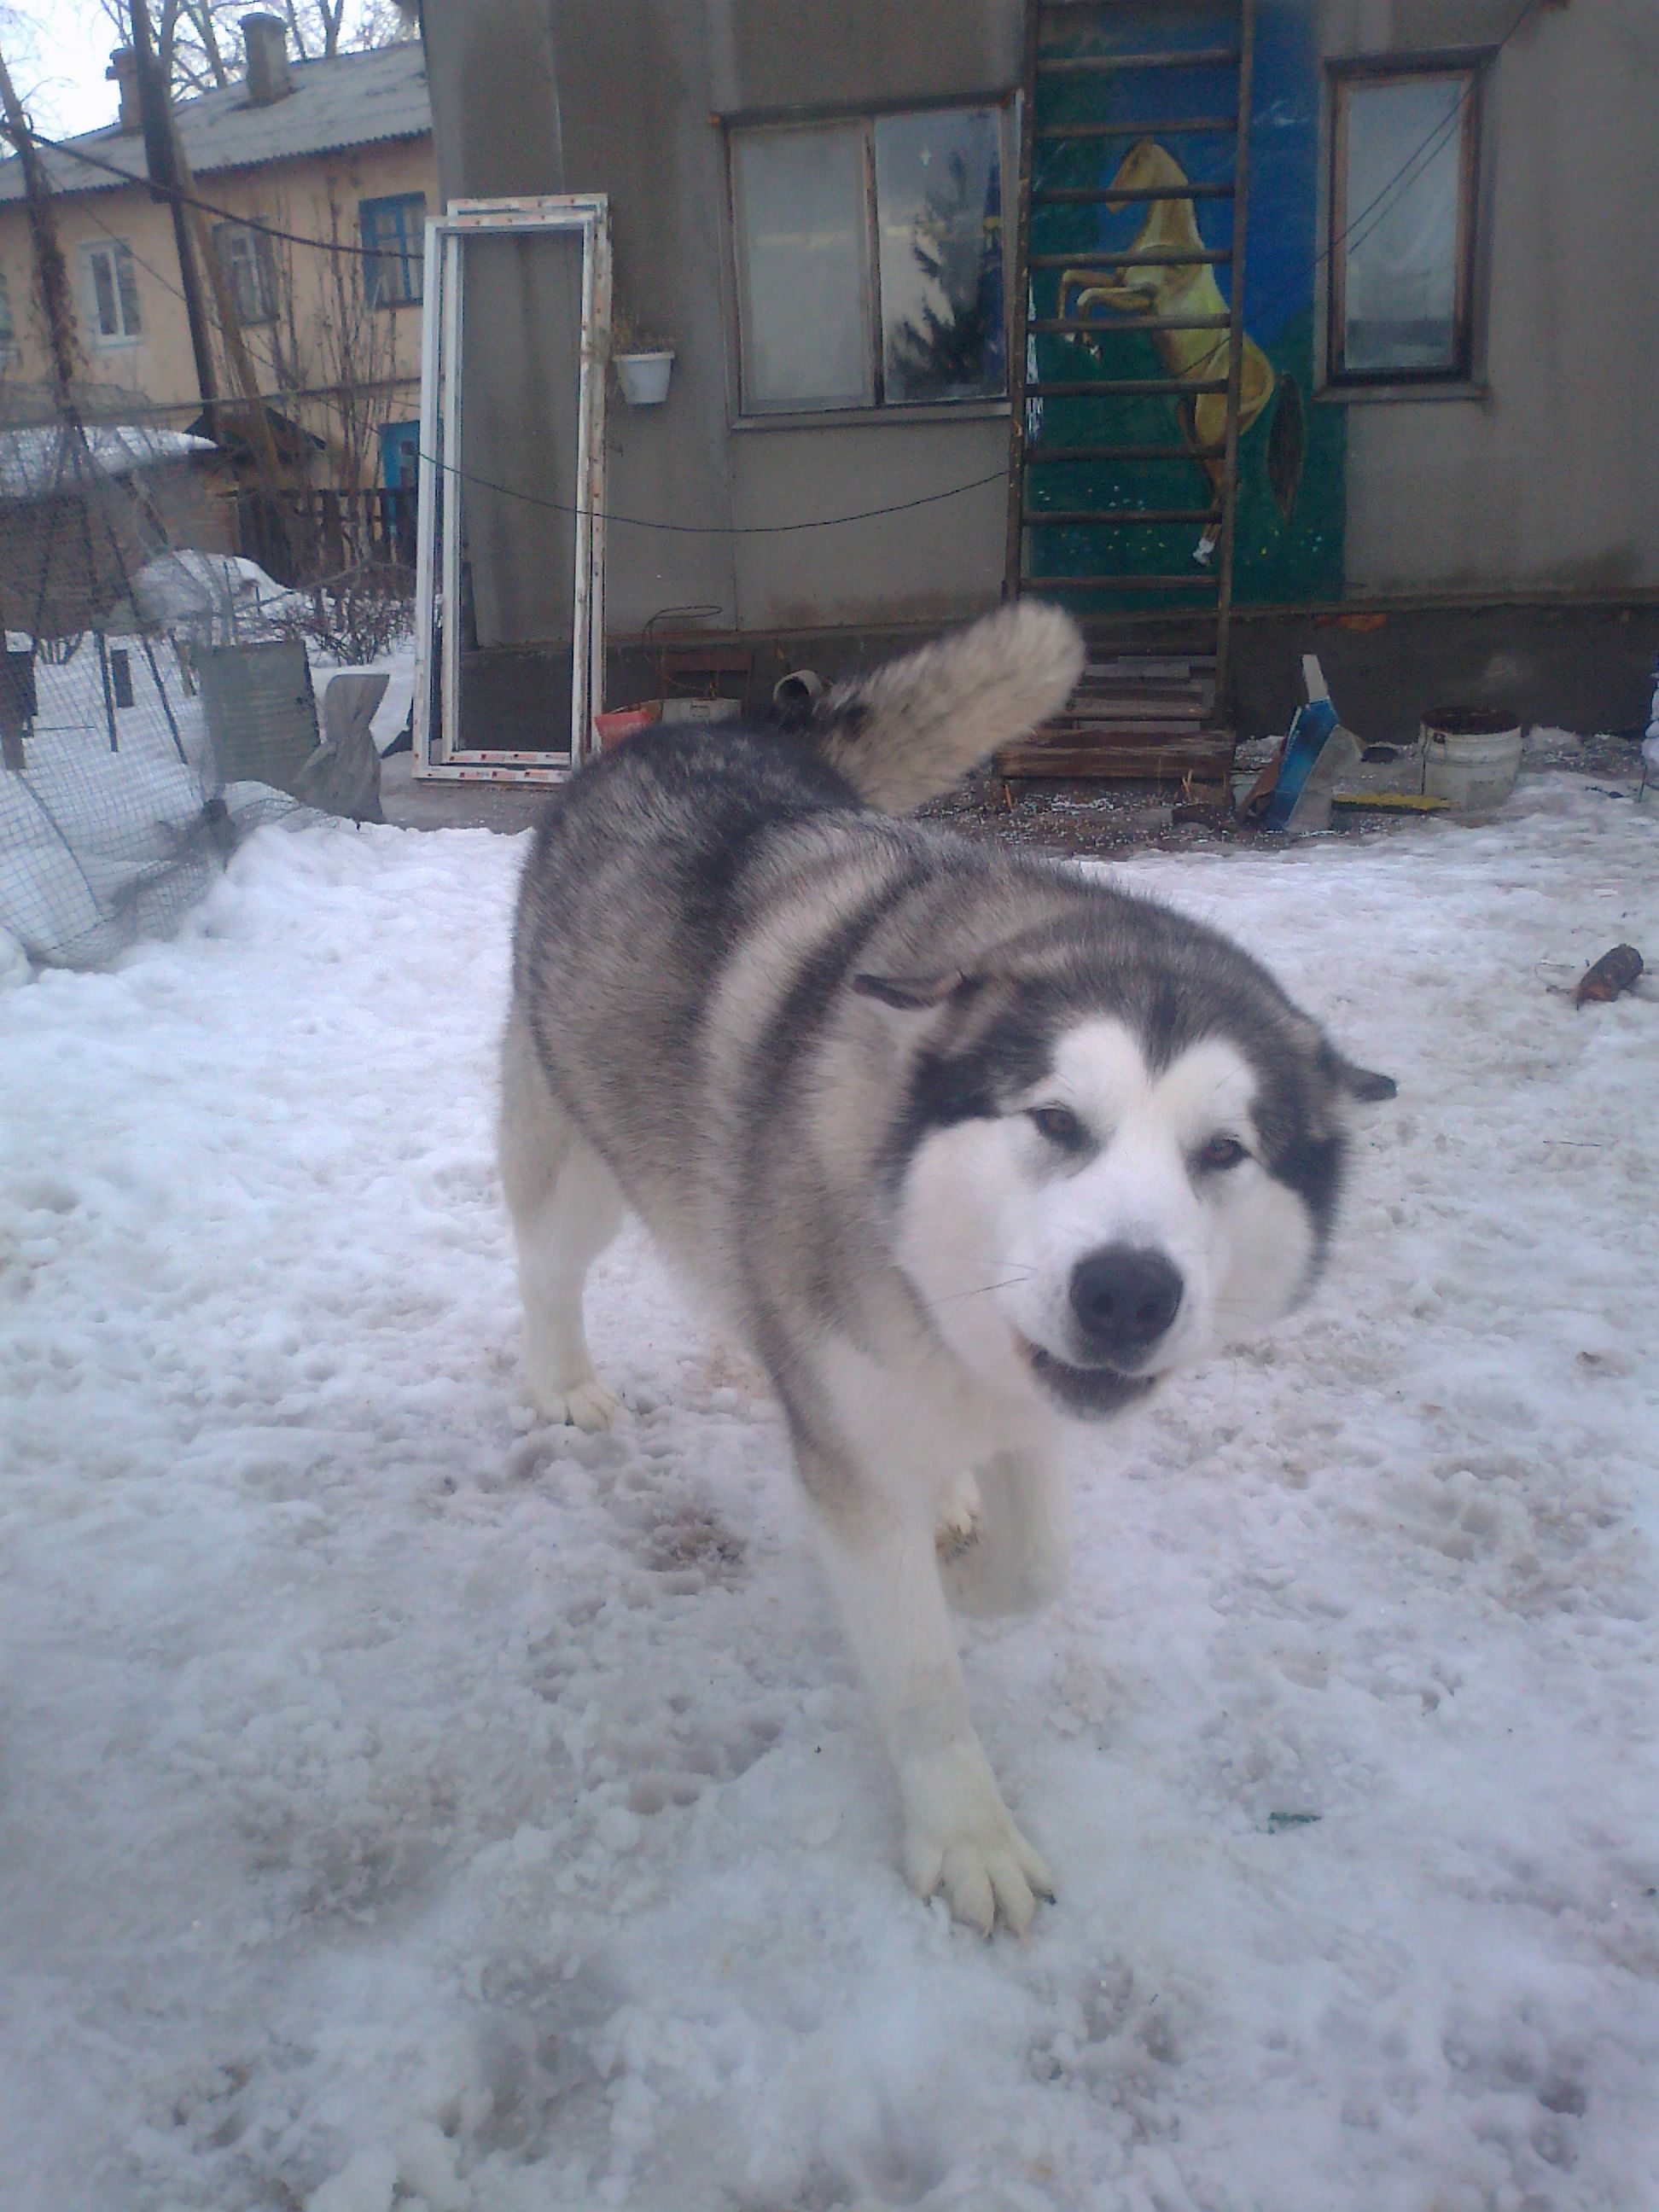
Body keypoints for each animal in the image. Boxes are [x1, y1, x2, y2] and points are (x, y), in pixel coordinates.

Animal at [499, 606, 1398, 1937]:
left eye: (1224, 1152)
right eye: (1055, 1121)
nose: (1126, 1294)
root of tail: (716, 731)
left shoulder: (1017, 1393)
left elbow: (1038, 1565)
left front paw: (972, 1568)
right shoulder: (855, 1434)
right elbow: (919, 1667)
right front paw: (966, 1830)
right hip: (579, 1157)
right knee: (548, 1263)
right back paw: (561, 1379)